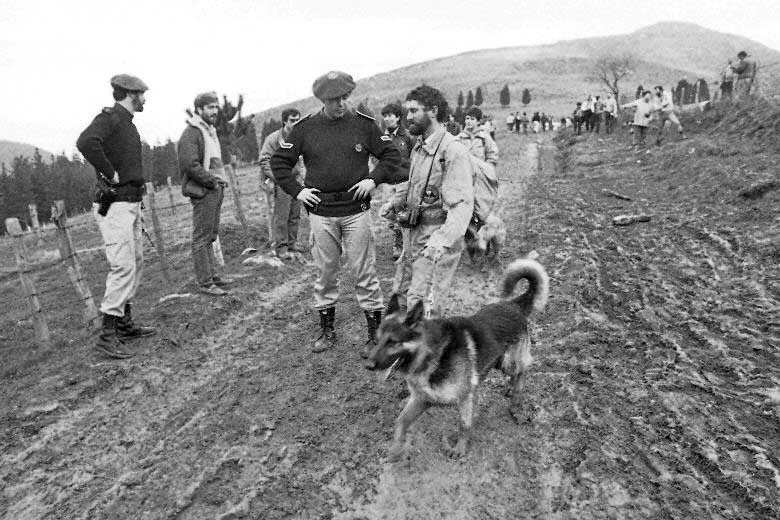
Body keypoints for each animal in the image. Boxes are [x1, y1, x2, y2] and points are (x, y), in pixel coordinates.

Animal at [366, 258, 548, 462]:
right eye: (377, 339)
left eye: (393, 342)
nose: (368, 365)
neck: (431, 355)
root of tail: (514, 305)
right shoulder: (421, 399)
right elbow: (400, 422)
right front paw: (395, 450)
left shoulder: (465, 397)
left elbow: (464, 424)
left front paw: (459, 449)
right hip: (500, 361)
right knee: (517, 373)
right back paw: (510, 388)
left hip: (508, 362)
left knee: (523, 370)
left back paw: (517, 404)